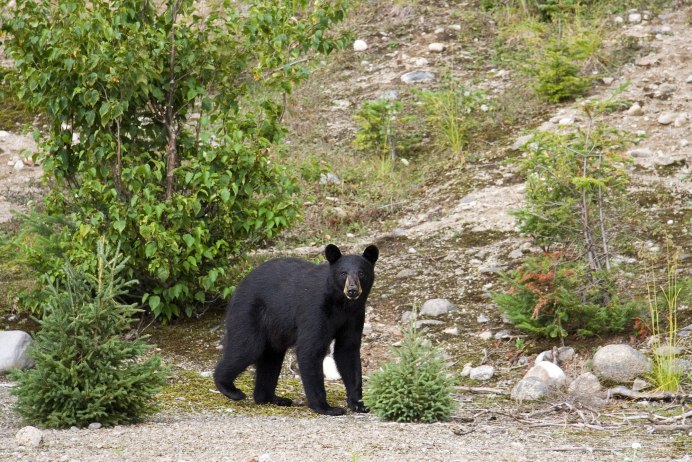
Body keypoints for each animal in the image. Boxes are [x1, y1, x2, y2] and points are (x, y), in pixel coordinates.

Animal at [215, 244, 378, 416]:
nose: (352, 290)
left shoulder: (355, 315)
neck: (341, 304)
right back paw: (230, 389)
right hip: (249, 312)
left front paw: (359, 404)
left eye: (361, 273)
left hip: (274, 330)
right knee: (246, 347)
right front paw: (326, 407)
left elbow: (348, 351)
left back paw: (271, 398)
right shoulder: (315, 311)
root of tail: (239, 286)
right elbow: (310, 349)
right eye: (343, 273)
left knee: (271, 357)